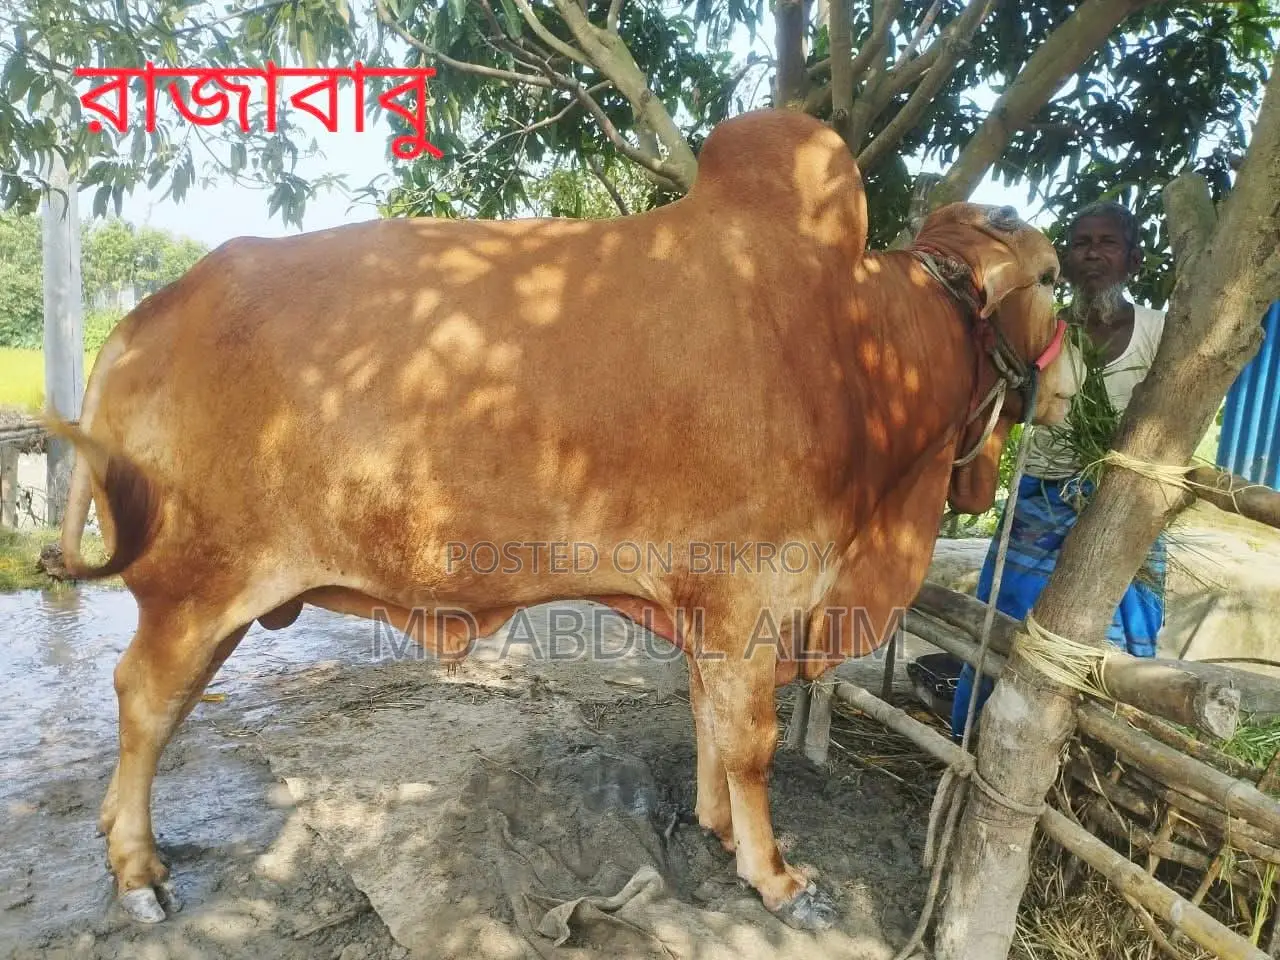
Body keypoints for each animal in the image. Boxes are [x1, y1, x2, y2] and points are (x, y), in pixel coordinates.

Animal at [45, 107, 1078, 933]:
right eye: (1054, 273)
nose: (1073, 387)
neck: (862, 351)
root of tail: (142, 319)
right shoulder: (750, 597)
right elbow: (751, 742)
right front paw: (775, 877)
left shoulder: (707, 611)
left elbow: (708, 719)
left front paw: (714, 829)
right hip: (196, 586)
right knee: (145, 700)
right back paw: (136, 871)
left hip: (222, 596)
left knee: (165, 705)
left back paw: (120, 835)